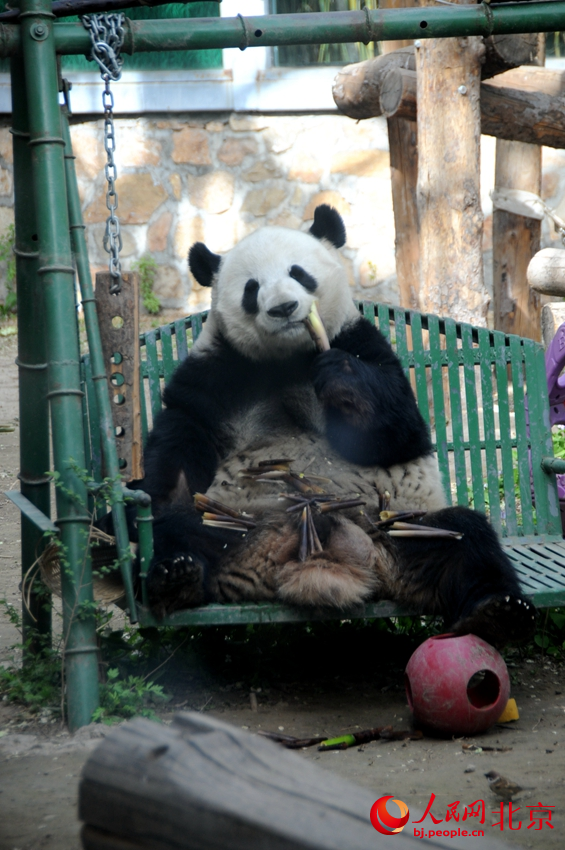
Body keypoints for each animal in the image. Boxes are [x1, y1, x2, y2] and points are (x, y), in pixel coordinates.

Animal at [134, 209, 536, 644]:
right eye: (252, 288)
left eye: (298, 273)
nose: (284, 307)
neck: (288, 357)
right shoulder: (220, 368)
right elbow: (182, 430)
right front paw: (158, 491)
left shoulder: (361, 341)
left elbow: (400, 432)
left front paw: (342, 379)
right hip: (235, 521)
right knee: (180, 529)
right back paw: (178, 576)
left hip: (396, 527)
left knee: (465, 539)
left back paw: (496, 610)